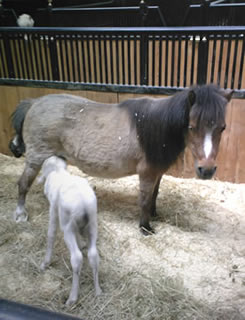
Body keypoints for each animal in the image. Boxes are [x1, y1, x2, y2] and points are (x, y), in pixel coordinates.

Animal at [9, 84, 232, 235]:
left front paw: (154, 214)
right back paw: (20, 215)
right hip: (36, 158)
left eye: (222, 128)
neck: (155, 128)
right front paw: (145, 227)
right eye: (192, 126)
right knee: (23, 184)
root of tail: (34, 102)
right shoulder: (147, 173)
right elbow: (144, 199)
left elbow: (154, 195)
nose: (207, 170)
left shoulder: (157, 173)